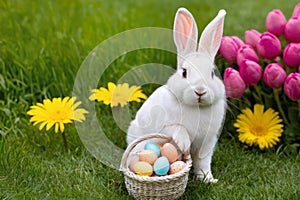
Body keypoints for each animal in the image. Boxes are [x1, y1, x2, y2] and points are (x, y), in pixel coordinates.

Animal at [126, 7, 227, 183]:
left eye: (212, 73)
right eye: (184, 72)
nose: (200, 90)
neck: (196, 107)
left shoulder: (207, 142)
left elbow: (203, 162)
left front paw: (208, 179)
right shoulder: (165, 126)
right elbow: (177, 128)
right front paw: (184, 143)